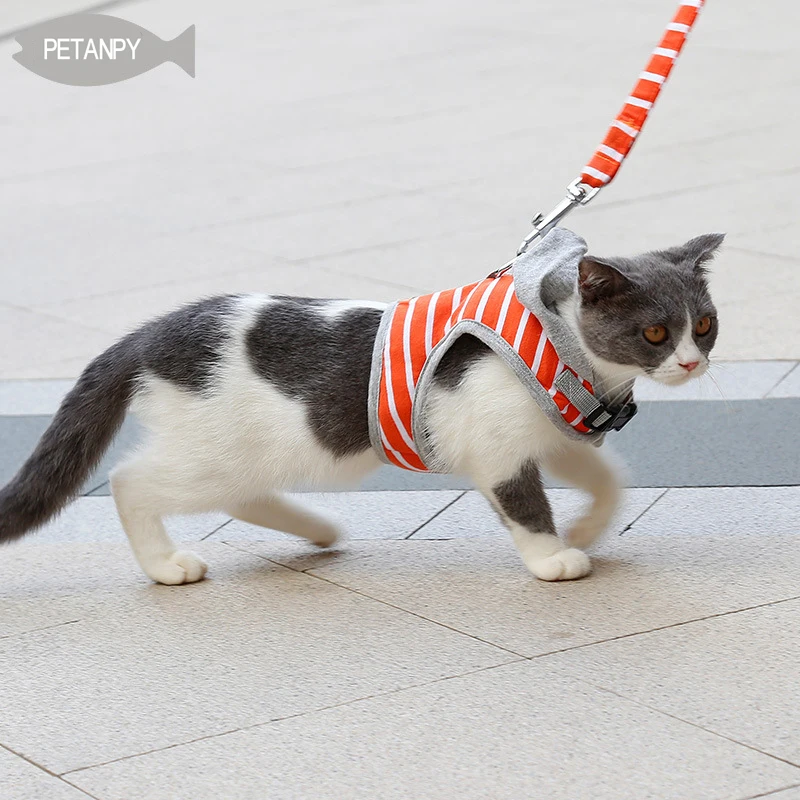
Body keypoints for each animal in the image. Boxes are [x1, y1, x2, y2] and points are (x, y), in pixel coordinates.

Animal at [0, 228, 724, 584]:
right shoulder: (493, 447)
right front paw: (553, 558)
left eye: (706, 324)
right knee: (132, 482)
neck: (558, 345)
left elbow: (609, 478)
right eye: (655, 333)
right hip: (213, 450)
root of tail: (149, 333)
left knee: (241, 494)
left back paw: (317, 529)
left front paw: (587, 528)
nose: (693, 361)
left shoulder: (550, 432)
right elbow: (523, 504)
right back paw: (165, 565)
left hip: (259, 451)